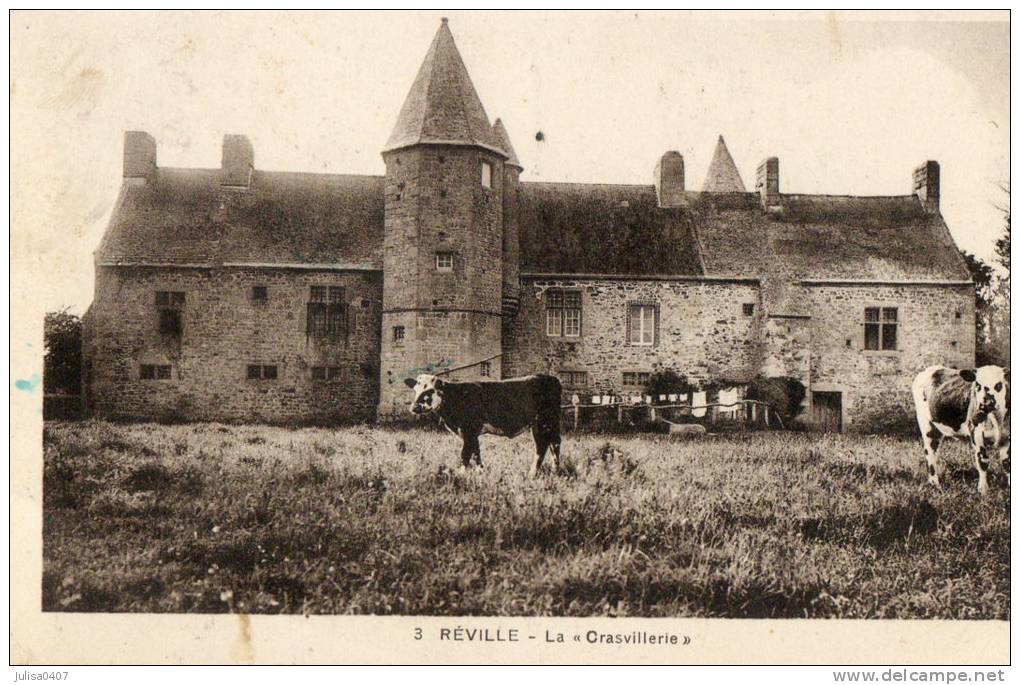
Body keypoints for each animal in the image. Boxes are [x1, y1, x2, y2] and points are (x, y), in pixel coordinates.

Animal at [401, 375, 563, 477]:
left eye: (429, 391)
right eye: (415, 390)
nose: (414, 407)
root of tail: (550, 377)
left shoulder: (468, 429)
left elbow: (465, 453)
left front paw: (461, 474)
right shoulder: (471, 433)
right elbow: (476, 452)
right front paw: (480, 472)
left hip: (546, 421)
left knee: (550, 444)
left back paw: (544, 472)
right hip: (541, 424)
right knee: (547, 445)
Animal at [913, 362, 1007, 493]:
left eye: (999, 385)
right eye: (978, 384)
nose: (986, 403)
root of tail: (930, 369)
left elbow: (1007, 463)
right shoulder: (976, 434)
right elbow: (982, 461)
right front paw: (983, 490)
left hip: (937, 430)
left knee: (935, 451)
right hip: (926, 425)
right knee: (929, 452)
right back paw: (935, 484)